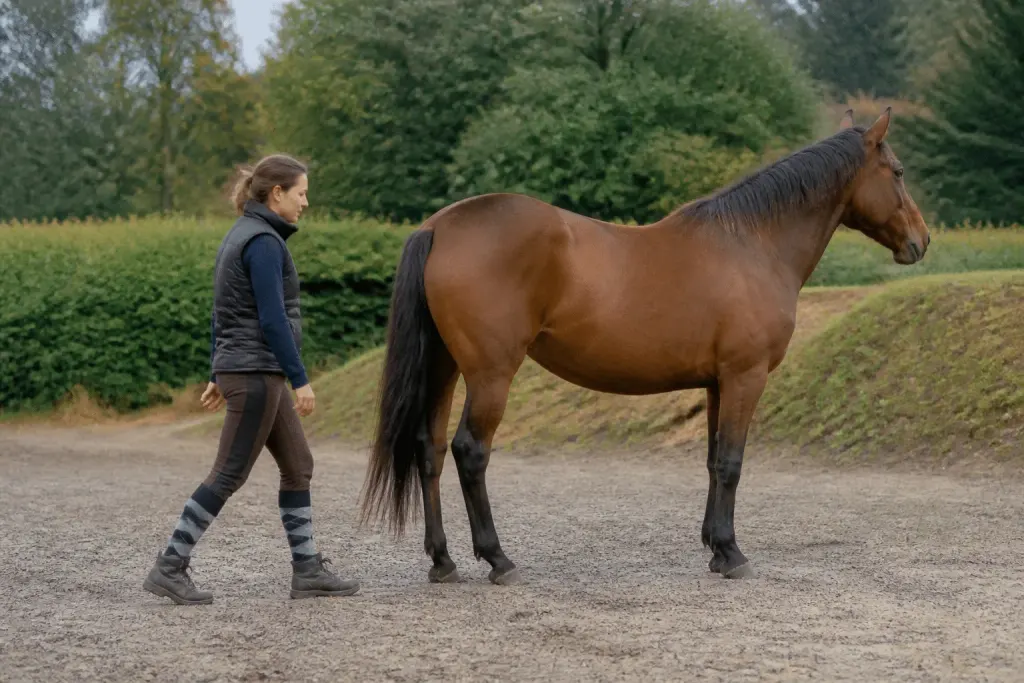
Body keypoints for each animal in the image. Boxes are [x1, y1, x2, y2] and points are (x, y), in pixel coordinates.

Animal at [358, 107, 930, 585]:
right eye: (899, 171)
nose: (922, 242)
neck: (752, 244)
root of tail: (439, 226)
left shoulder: (718, 382)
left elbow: (713, 460)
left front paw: (714, 546)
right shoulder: (745, 376)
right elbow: (732, 462)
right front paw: (732, 554)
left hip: (444, 367)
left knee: (428, 450)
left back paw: (443, 561)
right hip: (490, 374)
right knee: (469, 452)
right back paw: (498, 559)